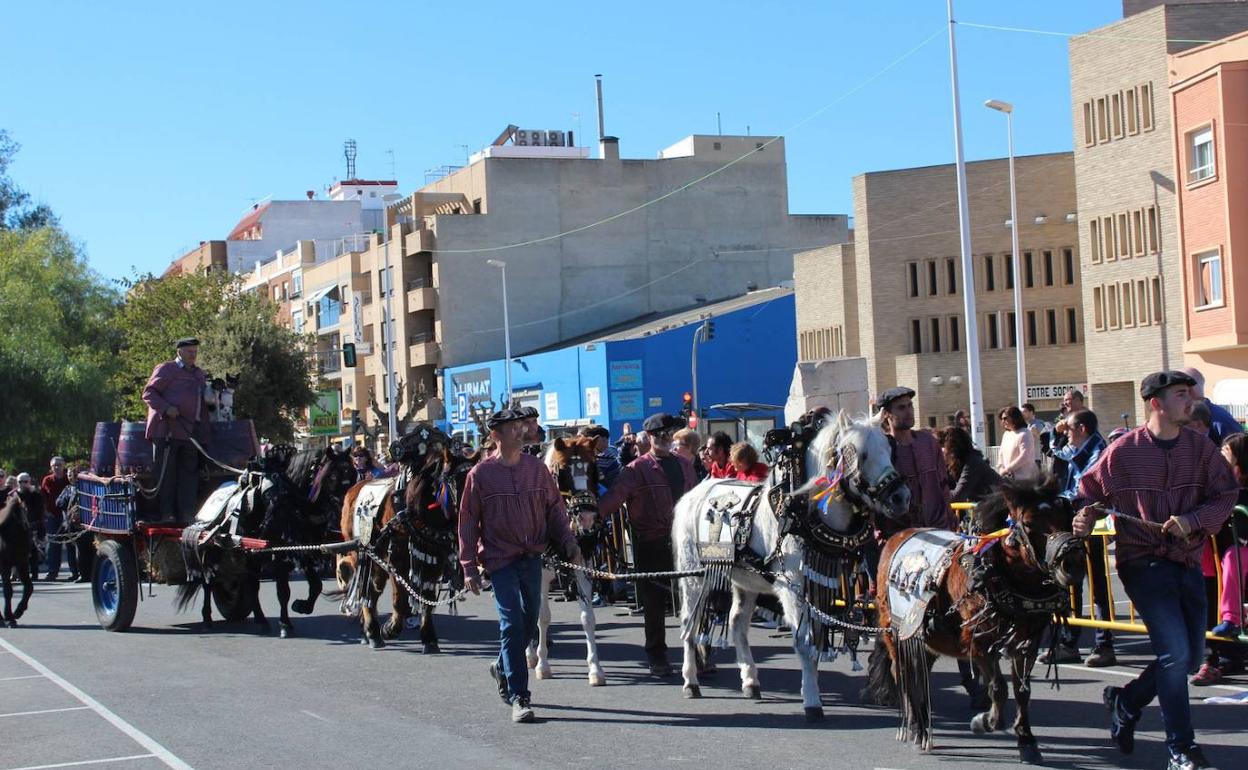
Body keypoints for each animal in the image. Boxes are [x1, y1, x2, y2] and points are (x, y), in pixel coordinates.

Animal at [0, 491, 33, 623]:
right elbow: (8, 590)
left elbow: (29, 587)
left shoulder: (22, 563)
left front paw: (18, 612)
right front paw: (9, 617)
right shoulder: (5, 565)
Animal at [336, 424, 464, 653]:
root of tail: (353, 489)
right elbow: (400, 598)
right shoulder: (397, 557)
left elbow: (426, 598)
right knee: (367, 589)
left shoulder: (433, 559)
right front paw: (390, 628)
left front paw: (429, 638)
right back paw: (371, 632)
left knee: (371, 590)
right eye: (454, 482)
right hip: (364, 553)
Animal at [524, 439, 606, 683]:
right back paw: (530, 655)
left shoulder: (582, 563)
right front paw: (543, 664)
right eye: (562, 472)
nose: (586, 518)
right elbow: (542, 617)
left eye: (593, 469)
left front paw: (595, 669)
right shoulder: (540, 573)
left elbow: (588, 617)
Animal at [673, 411, 908, 718]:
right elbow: (804, 642)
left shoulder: (820, 587)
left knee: (737, 623)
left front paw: (812, 688)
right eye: (860, 454)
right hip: (694, 576)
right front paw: (812, 701)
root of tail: (692, 493)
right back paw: (690, 681)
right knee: (689, 623)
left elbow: (817, 640)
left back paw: (750, 680)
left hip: (746, 581)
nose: (900, 497)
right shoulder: (792, 587)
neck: (802, 512)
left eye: (890, 449)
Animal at [868, 474, 1083, 763]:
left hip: (926, 640)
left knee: (919, 674)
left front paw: (1026, 740)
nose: (1072, 562)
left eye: (1065, 515)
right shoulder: (979, 643)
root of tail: (897, 537)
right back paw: (915, 725)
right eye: (1028, 523)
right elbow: (999, 688)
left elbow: (1022, 691)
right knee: (902, 673)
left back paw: (922, 724)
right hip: (896, 632)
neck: (994, 573)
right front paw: (985, 721)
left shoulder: (1027, 641)